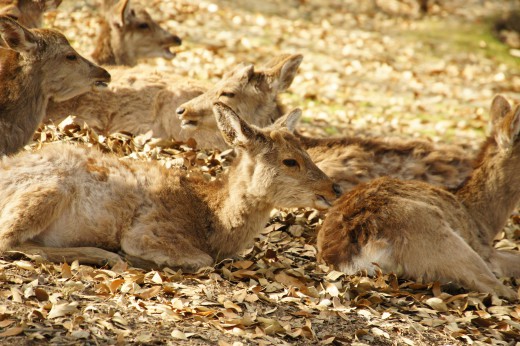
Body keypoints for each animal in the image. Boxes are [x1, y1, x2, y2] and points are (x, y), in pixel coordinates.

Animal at [0, 102, 342, 270]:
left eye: (307, 151)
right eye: (290, 161)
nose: (334, 189)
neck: (210, 220)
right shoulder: (149, 232)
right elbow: (202, 262)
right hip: (48, 191)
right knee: (8, 240)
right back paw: (106, 255)